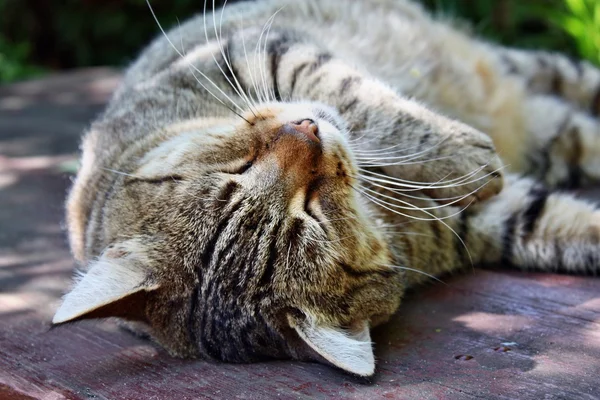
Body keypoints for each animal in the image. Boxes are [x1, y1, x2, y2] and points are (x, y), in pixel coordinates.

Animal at [51, 0, 600, 376]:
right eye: (310, 211)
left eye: (236, 172)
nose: (307, 133)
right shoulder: (482, 221)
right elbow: (560, 225)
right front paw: (473, 161)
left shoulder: (252, 50)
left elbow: (359, 99)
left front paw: (461, 152)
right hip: (555, 135)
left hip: (534, 70)